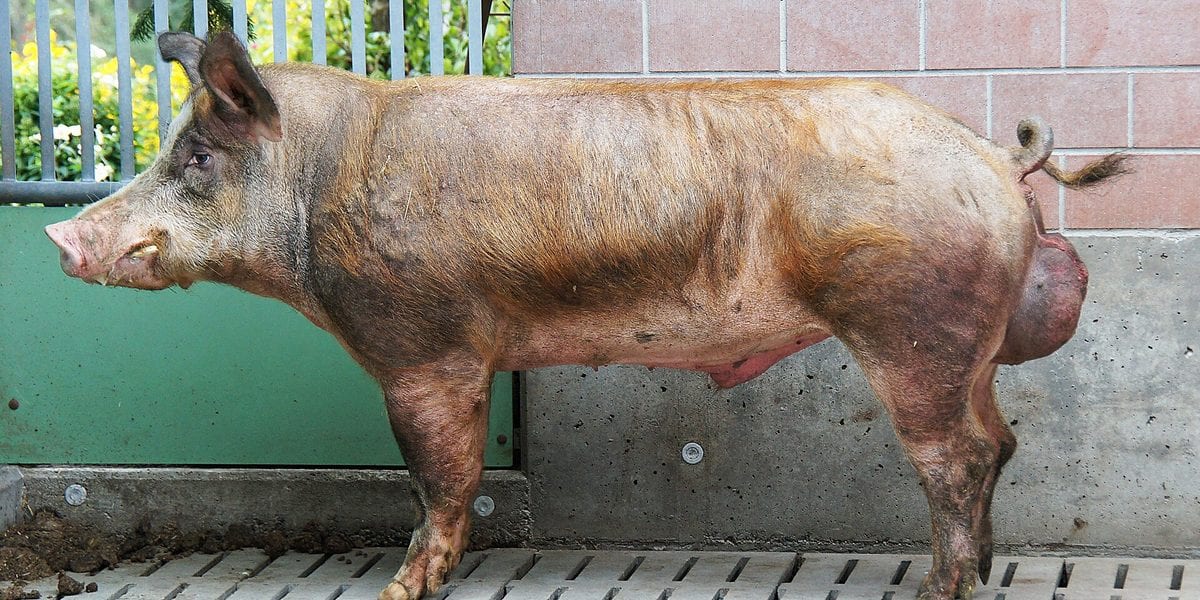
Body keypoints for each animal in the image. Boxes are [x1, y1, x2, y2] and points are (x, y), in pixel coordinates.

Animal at [44, 32, 1125, 600]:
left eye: (195, 159)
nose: (62, 238)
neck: (316, 189)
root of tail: (994, 156)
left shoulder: (423, 347)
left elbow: (441, 477)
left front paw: (399, 588)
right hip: (965, 349)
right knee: (1001, 441)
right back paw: (979, 569)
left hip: (912, 324)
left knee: (959, 456)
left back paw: (939, 588)